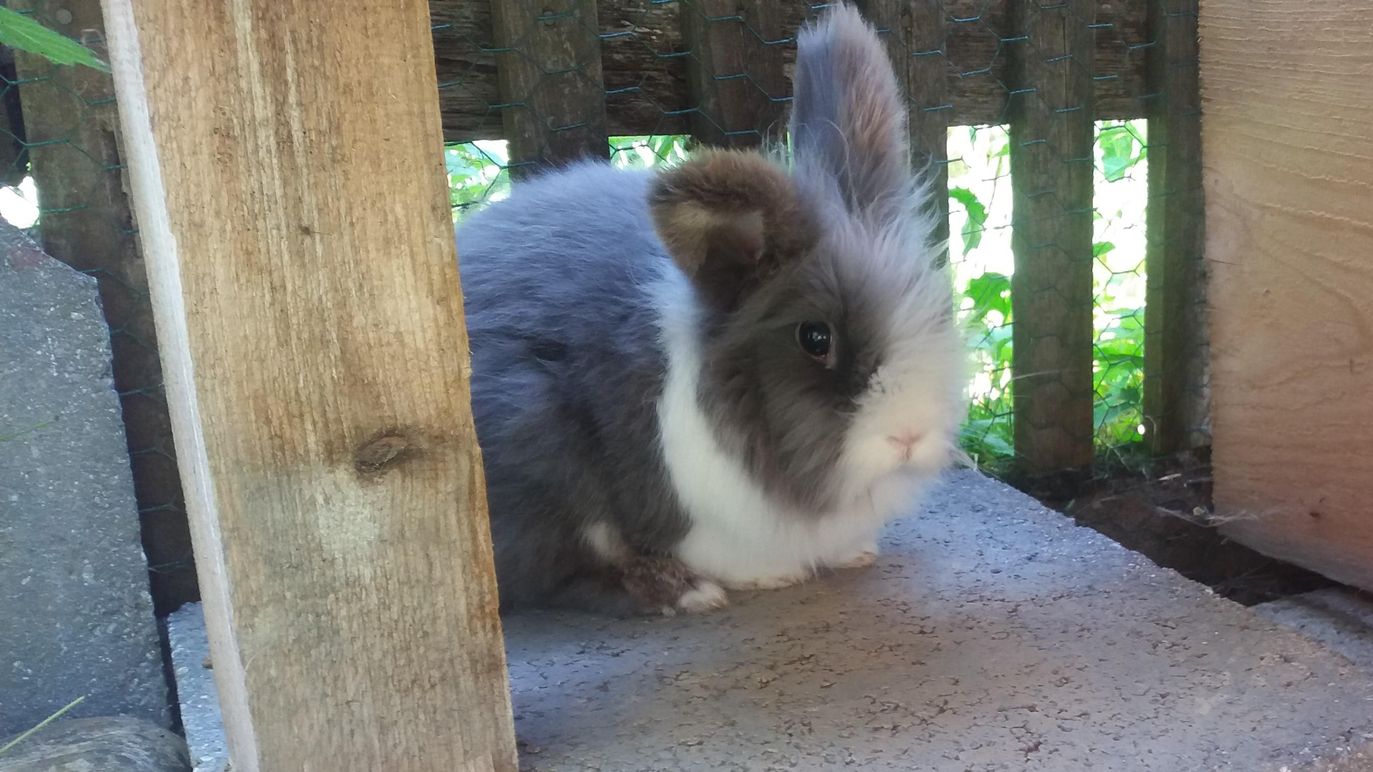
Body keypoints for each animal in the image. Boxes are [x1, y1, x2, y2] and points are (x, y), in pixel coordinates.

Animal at [455, 3, 967, 616]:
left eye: (937, 314)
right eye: (815, 338)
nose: (908, 436)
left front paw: (856, 554)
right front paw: (768, 578)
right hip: (536, 435)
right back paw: (686, 592)